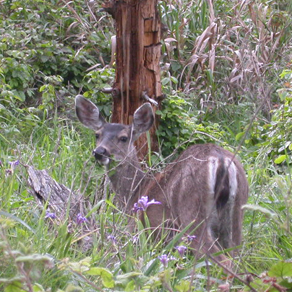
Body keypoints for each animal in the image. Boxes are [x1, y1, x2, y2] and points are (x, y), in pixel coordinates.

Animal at [75, 96, 249, 266]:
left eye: (123, 138)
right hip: (236, 214)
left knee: (220, 259)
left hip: (191, 212)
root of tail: (220, 160)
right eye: (97, 135)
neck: (134, 192)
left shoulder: (140, 230)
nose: (99, 152)